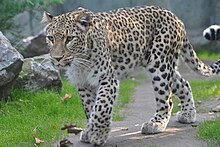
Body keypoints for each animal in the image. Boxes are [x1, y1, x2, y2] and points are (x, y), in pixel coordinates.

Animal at [42, 5, 220, 146]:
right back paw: (188, 114)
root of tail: (176, 17)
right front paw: (89, 131)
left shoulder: (108, 79)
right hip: (165, 65)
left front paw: (98, 135)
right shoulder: (83, 84)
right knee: (184, 84)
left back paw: (156, 124)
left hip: (159, 64)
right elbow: (89, 108)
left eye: (69, 39)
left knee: (167, 98)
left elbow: (101, 107)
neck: (79, 61)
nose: (57, 58)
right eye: (50, 38)